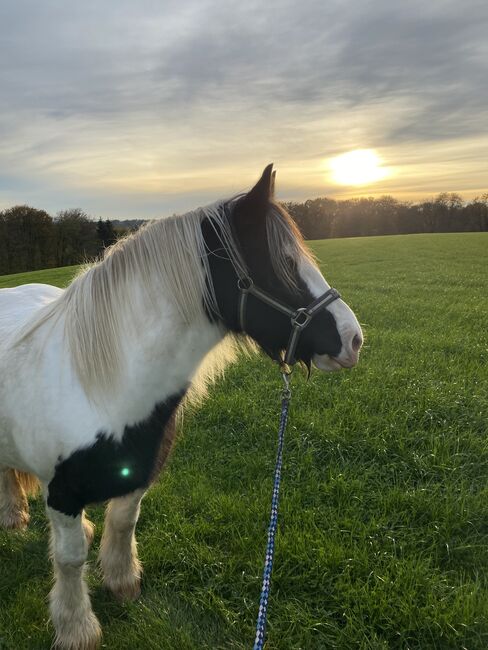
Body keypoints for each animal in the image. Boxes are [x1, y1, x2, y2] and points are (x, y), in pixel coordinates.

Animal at [0, 166, 358, 648]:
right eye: (283, 263)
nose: (353, 339)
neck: (98, 385)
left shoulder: (139, 470)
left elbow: (123, 522)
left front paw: (122, 581)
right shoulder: (63, 493)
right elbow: (71, 560)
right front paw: (77, 628)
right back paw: (13, 516)